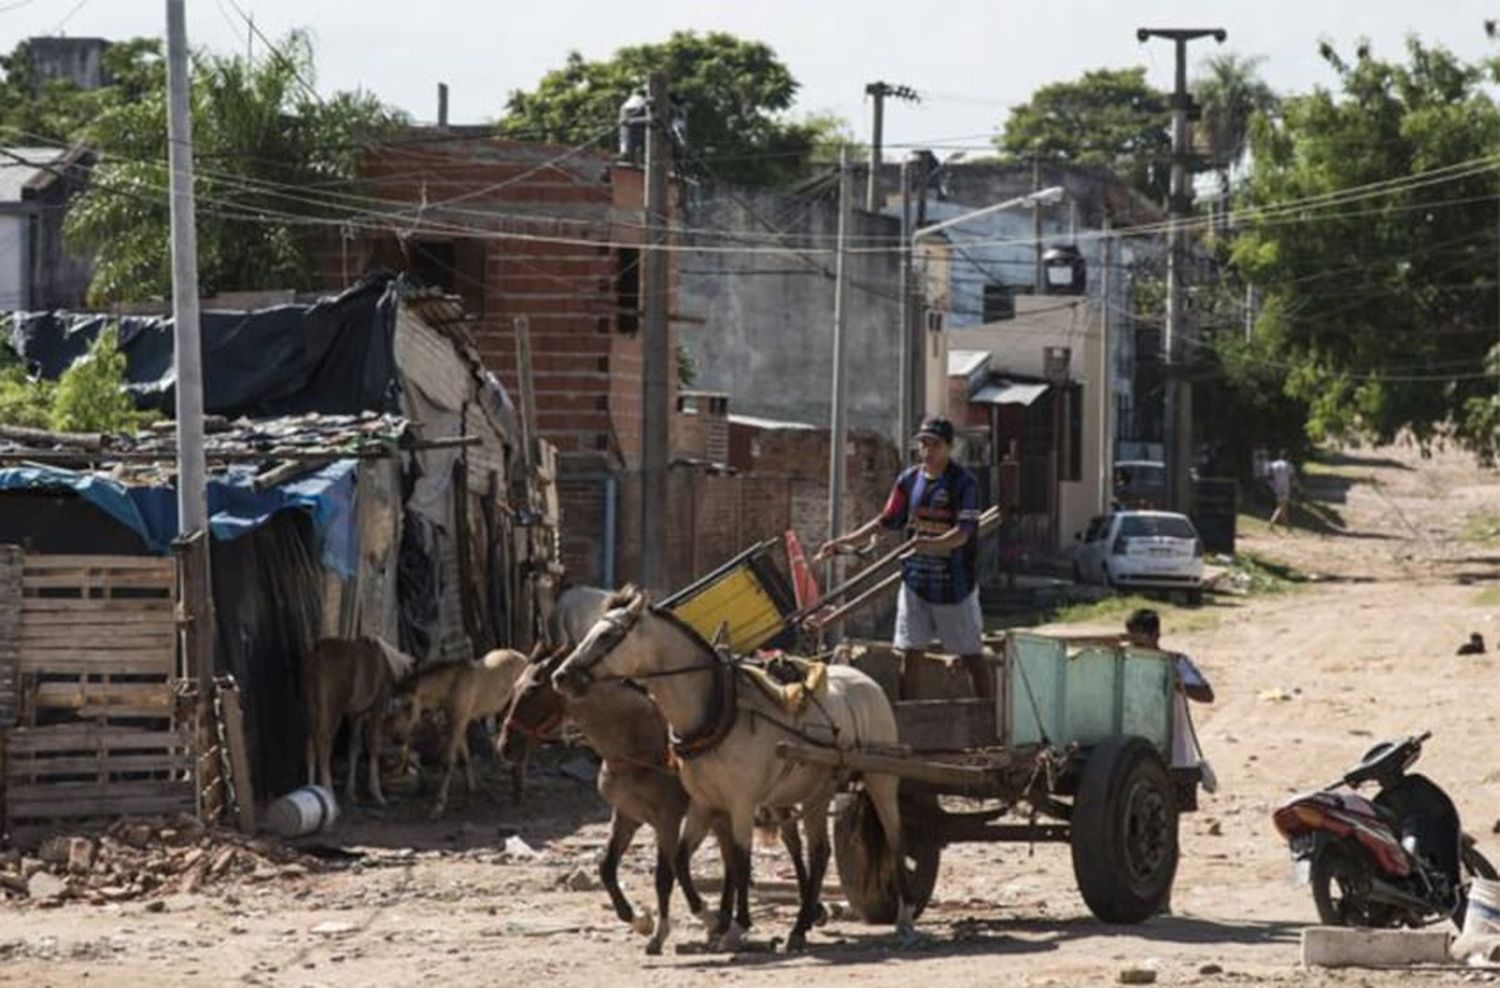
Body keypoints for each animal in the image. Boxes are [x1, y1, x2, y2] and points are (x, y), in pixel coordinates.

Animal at [301, 638, 417, 809]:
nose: (401, 739)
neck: (389, 664)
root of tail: (316, 654)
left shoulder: (357, 715)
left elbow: (354, 746)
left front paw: (351, 794)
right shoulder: (376, 709)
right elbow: (373, 745)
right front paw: (377, 794)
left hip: (312, 710)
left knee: (310, 745)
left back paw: (310, 788)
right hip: (331, 711)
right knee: (323, 744)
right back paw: (330, 796)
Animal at [390, 650, 531, 821]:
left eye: (409, 705)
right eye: (393, 705)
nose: (397, 738)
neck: (450, 686)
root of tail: (524, 658)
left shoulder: (457, 723)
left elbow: (448, 761)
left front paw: (438, 806)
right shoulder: (461, 723)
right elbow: (464, 758)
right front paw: (470, 792)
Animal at [555, 587, 912, 953]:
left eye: (607, 635)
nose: (561, 676)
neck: (717, 712)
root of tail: (867, 681)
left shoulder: (737, 804)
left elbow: (738, 861)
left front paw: (735, 926)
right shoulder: (703, 804)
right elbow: (680, 862)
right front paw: (713, 919)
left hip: (881, 779)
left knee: (894, 837)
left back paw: (904, 918)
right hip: (815, 790)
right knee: (818, 851)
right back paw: (801, 926)